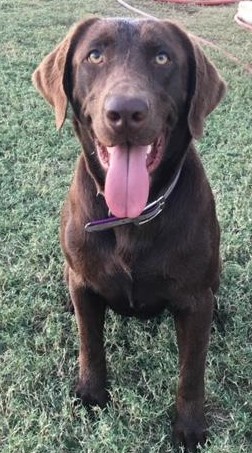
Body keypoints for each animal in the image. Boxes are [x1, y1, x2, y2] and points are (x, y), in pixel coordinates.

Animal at [32, 16, 225, 448]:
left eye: (162, 57)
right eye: (94, 55)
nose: (125, 111)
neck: (130, 219)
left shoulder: (194, 301)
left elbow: (192, 371)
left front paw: (190, 427)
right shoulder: (85, 283)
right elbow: (90, 343)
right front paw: (91, 393)